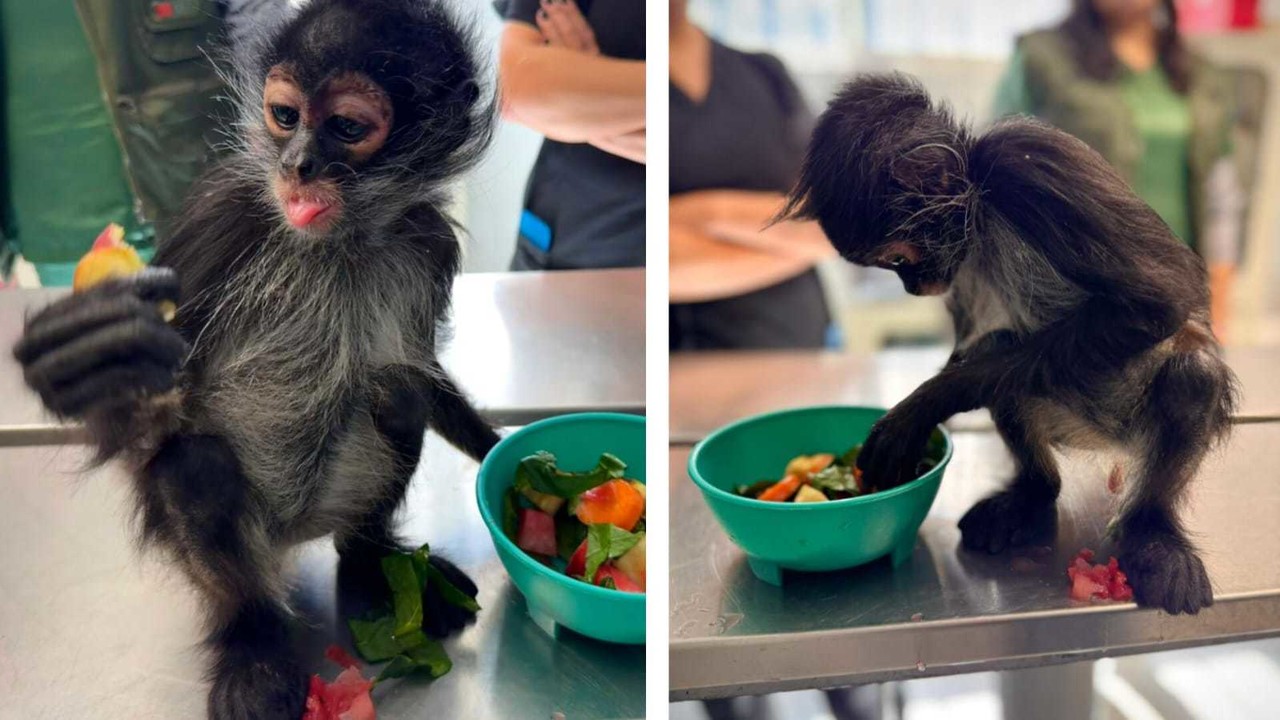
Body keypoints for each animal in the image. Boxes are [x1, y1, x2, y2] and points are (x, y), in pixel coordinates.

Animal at [15, 2, 496, 712]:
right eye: (285, 116)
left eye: (348, 127)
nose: (297, 164)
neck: (338, 244)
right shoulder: (223, 212)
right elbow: (153, 431)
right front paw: (93, 366)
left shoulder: (425, 237)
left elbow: (420, 373)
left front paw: (508, 455)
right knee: (197, 469)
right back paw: (254, 637)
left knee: (396, 395)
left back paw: (370, 559)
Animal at [778, 71, 1239, 609]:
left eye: (896, 260)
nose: (912, 288)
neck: (981, 198)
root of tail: (1101, 438)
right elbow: (970, 341)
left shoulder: (1026, 163)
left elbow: (1160, 301)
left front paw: (926, 403)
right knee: (1000, 358)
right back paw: (1033, 494)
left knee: (1192, 375)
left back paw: (1152, 533)